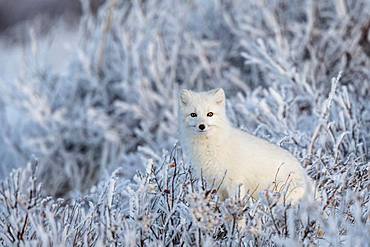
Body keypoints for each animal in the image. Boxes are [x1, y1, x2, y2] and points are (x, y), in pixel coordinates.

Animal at [179, 88, 310, 204]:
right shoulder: (217, 185)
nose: (202, 126)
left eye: (209, 114)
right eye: (193, 114)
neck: (210, 146)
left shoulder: (235, 182)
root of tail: (302, 171)